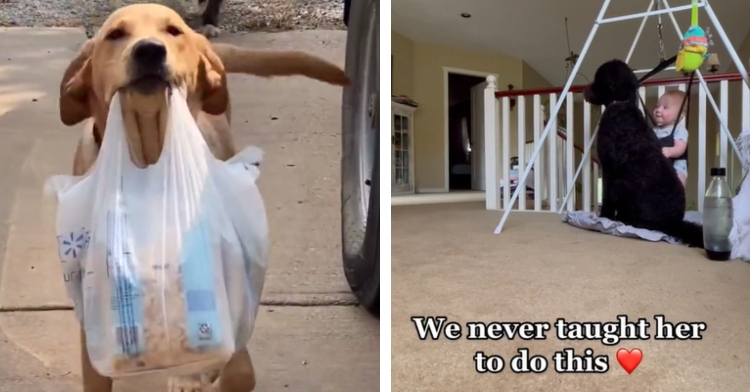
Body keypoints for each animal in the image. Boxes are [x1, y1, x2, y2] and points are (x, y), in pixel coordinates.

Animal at [588, 58, 704, 247]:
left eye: (597, 79)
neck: (622, 104)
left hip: (620, 186)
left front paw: (603, 217)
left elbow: (605, 199)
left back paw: (620, 220)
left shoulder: (608, 168)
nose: (585, 88)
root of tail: (673, 223)